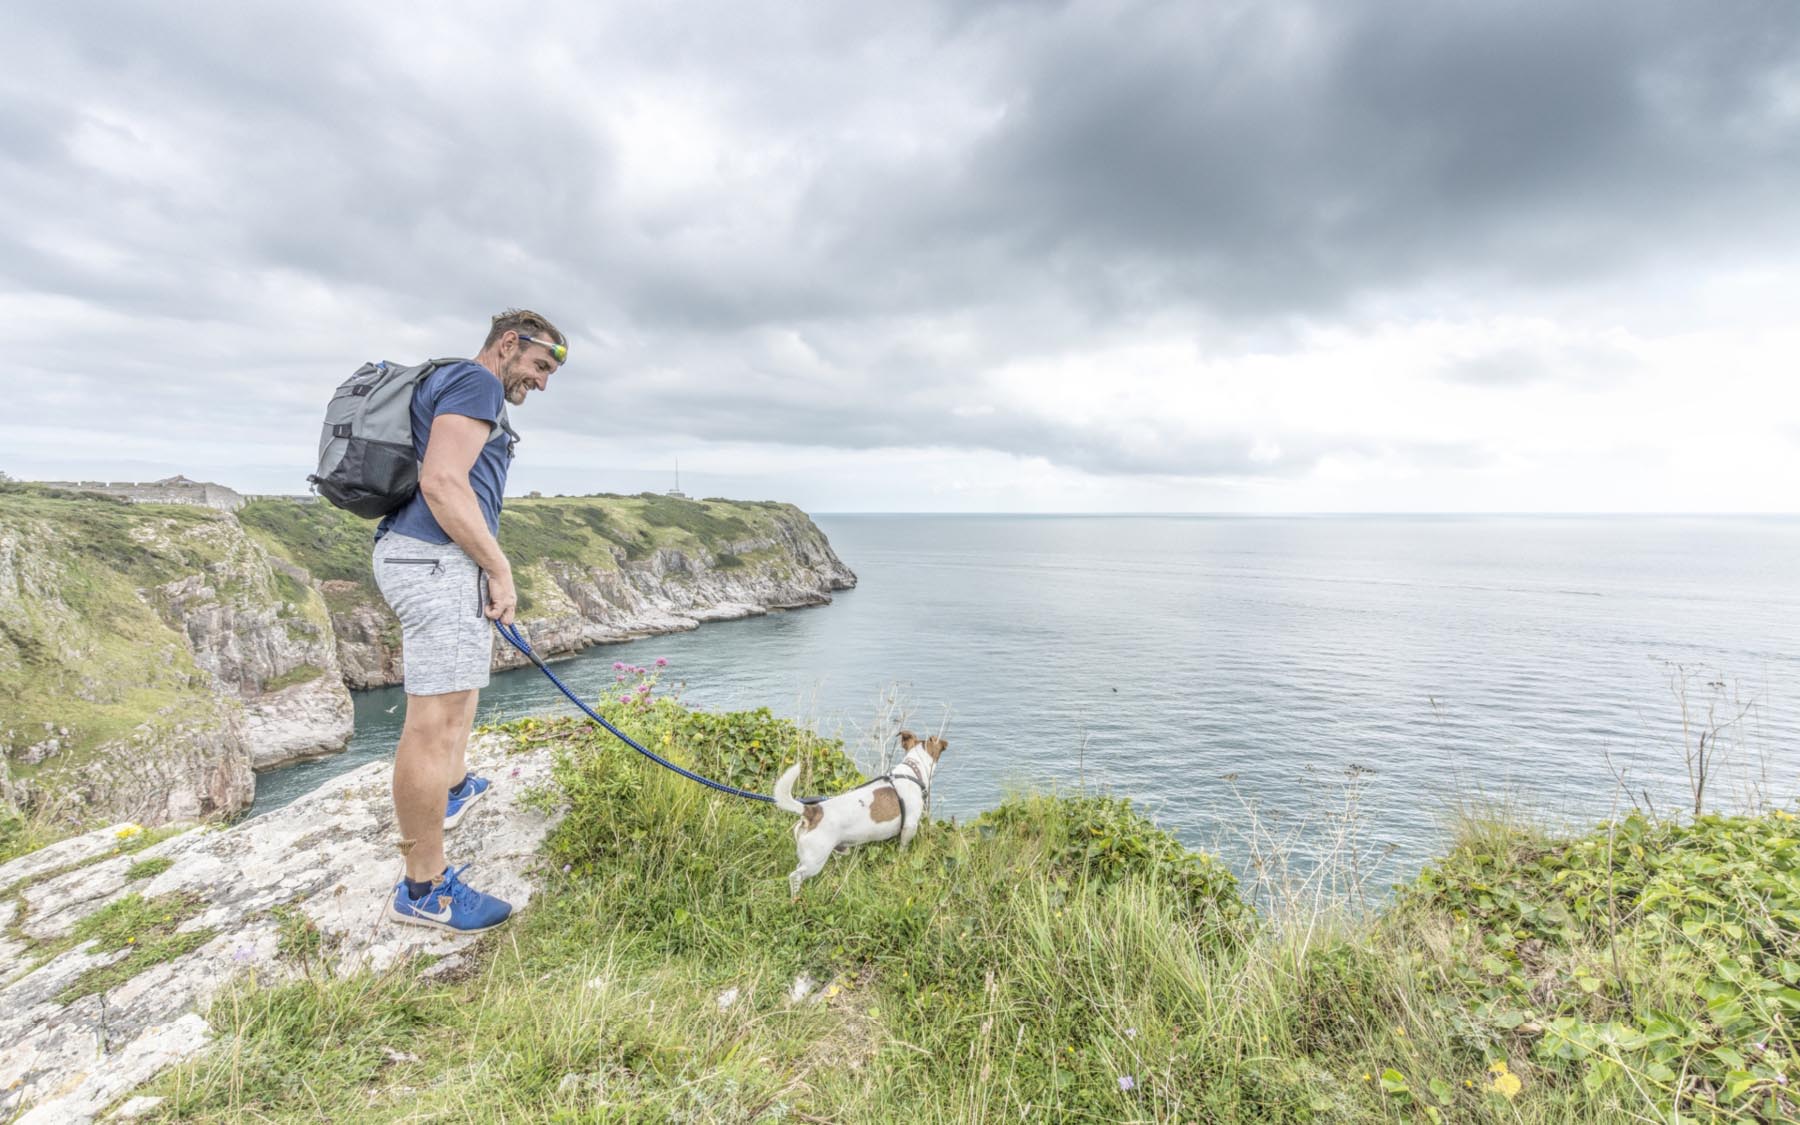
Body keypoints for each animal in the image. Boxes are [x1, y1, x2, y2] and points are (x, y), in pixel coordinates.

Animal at [770, 727, 950, 896]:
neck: (913, 771)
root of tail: (812, 811)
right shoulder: (909, 827)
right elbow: (903, 847)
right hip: (815, 860)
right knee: (794, 876)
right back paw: (795, 898)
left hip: (810, 855)